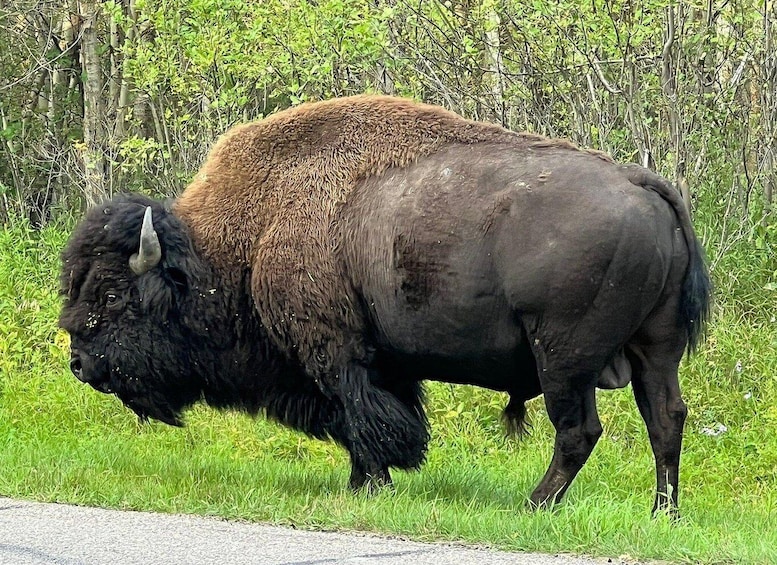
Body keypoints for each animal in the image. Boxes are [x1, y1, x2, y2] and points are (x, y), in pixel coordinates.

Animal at [59, 95, 710, 515]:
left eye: (112, 293)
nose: (80, 363)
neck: (243, 239)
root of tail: (642, 184)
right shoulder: (383, 362)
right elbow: (380, 417)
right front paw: (365, 482)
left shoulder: (336, 352)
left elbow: (360, 416)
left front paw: (371, 484)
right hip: (655, 350)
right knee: (665, 419)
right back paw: (663, 513)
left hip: (564, 358)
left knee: (579, 430)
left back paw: (533, 505)